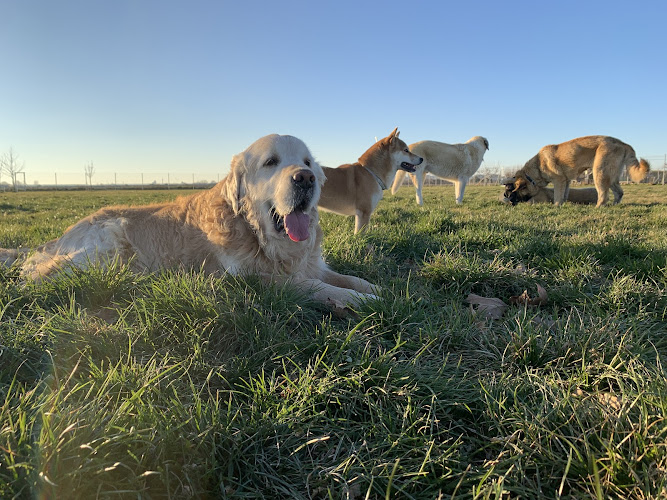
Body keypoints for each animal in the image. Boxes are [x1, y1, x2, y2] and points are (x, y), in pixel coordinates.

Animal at [0, 134, 378, 304]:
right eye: (271, 162)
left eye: (308, 162)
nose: (306, 178)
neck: (260, 236)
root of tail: (57, 239)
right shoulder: (249, 279)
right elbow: (310, 286)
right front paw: (357, 301)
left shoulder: (311, 264)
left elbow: (348, 277)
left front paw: (375, 289)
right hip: (109, 238)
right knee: (36, 277)